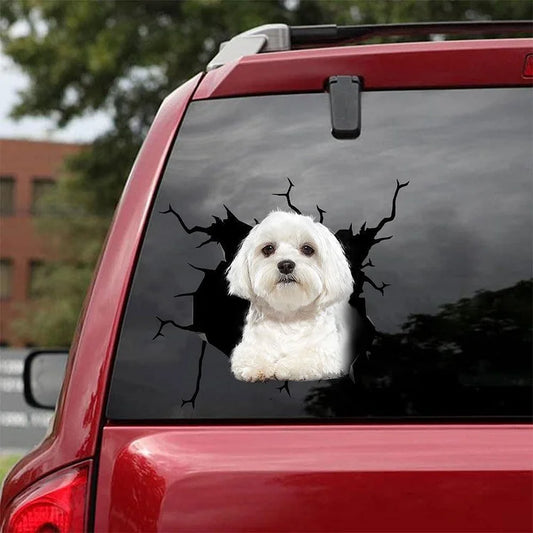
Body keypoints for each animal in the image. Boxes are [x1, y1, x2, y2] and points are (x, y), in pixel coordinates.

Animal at [225, 210, 354, 380]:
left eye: (307, 249)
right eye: (268, 249)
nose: (286, 265)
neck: (288, 316)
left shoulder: (327, 354)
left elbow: (306, 358)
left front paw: (286, 367)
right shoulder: (249, 347)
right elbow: (251, 356)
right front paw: (258, 368)